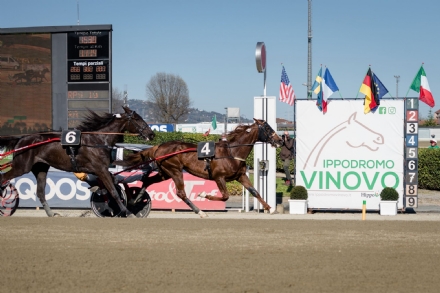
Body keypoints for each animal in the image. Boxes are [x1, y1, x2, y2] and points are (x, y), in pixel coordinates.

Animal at [0, 106, 156, 216]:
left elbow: (112, 184)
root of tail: (21, 139)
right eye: (137, 119)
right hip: (22, 166)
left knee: (40, 191)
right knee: (3, 178)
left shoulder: (99, 171)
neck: (98, 140)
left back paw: (51, 214)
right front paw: (128, 212)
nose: (152, 134)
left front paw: (127, 202)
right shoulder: (101, 169)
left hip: (41, 168)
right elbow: (113, 191)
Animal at [117, 118, 282, 217]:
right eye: (268, 128)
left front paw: (270, 208)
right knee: (181, 193)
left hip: (165, 172)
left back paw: (135, 201)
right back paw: (200, 211)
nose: (280, 140)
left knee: (147, 181)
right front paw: (204, 195)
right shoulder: (219, 177)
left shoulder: (240, 176)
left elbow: (254, 191)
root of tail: (158, 146)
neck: (231, 152)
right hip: (175, 171)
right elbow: (225, 196)